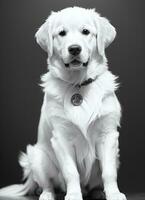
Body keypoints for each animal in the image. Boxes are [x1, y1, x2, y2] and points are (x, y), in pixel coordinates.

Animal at [0, 7, 127, 200]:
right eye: (61, 33)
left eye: (86, 31)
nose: (74, 49)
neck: (78, 84)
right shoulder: (61, 138)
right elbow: (71, 172)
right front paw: (73, 194)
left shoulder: (108, 135)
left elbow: (109, 172)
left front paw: (114, 194)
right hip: (37, 156)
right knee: (48, 184)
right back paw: (47, 195)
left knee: (95, 184)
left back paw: (98, 192)